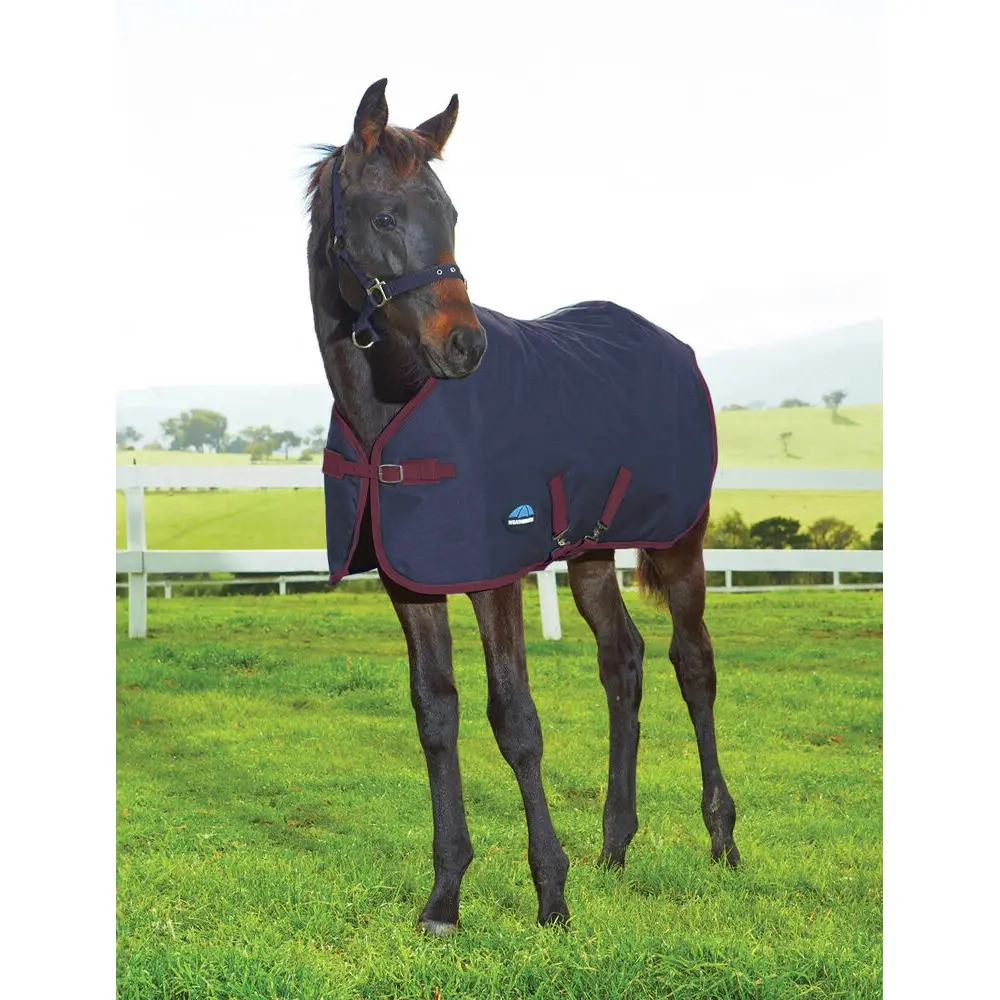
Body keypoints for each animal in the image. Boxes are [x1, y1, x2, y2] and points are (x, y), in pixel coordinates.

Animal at [305, 79, 739, 933]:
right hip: (594, 551)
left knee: (693, 662)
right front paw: (444, 899)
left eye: (452, 213)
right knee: (622, 660)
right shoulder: (412, 582)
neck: (393, 411)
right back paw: (615, 845)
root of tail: (672, 344)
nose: (465, 346)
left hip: (680, 541)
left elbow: (515, 720)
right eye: (384, 216)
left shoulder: (494, 575)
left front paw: (550, 896)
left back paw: (722, 838)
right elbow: (436, 716)